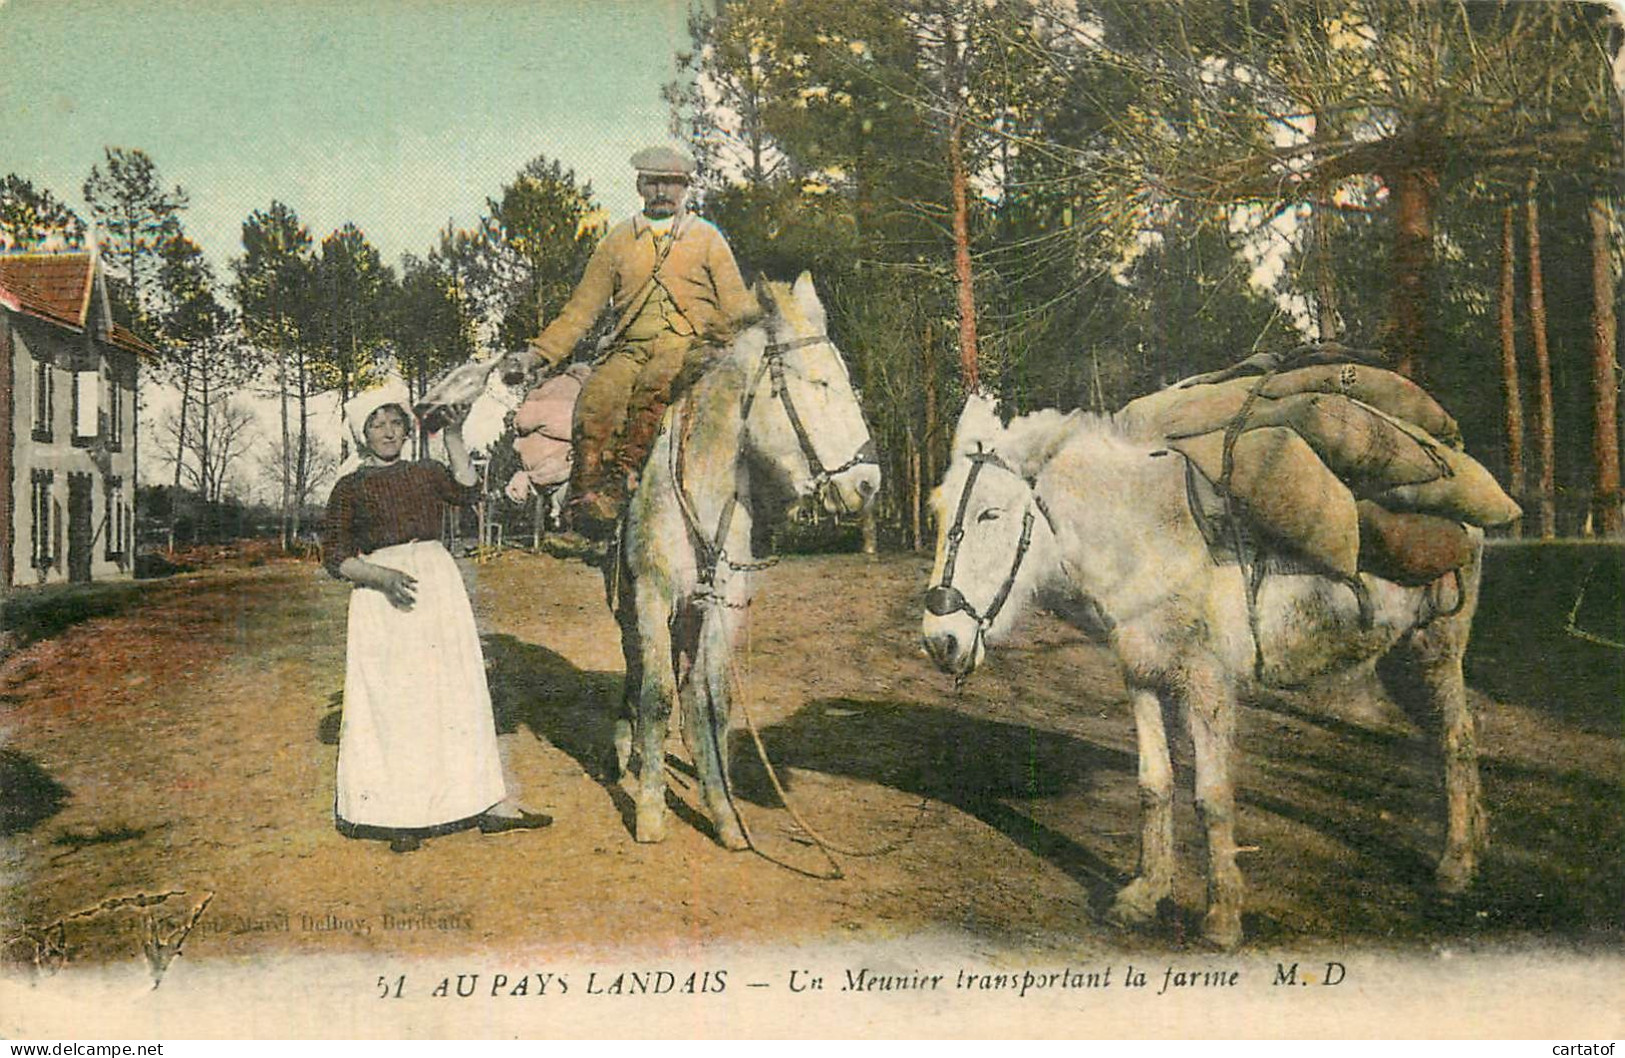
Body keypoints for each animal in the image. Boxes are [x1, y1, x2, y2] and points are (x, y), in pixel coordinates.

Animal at [614, 277, 884, 851]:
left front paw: (724, 812)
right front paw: (649, 811)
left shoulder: (723, 606)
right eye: (820, 383)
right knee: (637, 671)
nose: (868, 484)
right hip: (630, 601)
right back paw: (626, 745)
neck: (701, 488)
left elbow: (712, 700)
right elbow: (655, 696)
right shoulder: (651, 594)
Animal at [923, 396, 1482, 949]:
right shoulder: (1143, 677)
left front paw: (1222, 918)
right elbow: (1154, 785)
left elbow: (1211, 798)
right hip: (1402, 660)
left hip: (1436, 648)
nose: (939, 641)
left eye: (991, 513)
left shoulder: (1207, 686)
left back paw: (1456, 865)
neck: (1150, 539)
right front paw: (1145, 893)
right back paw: (1476, 841)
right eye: (938, 511)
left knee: (1456, 741)